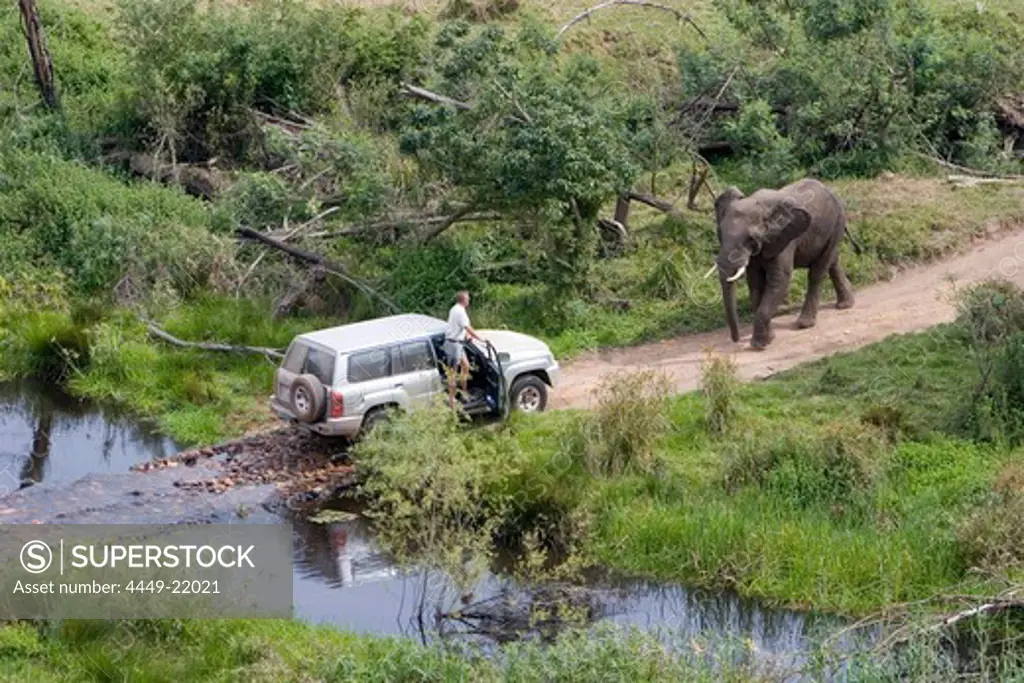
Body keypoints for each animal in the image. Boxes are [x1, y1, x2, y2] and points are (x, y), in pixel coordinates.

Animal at [704, 176, 856, 350]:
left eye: (750, 239)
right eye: (720, 234)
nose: (736, 340)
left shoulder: (784, 239)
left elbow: (779, 279)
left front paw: (759, 346)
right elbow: (755, 284)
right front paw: (767, 339)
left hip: (838, 221)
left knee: (818, 272)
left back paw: (805, 324)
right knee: (832, 262)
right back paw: (845, 305)